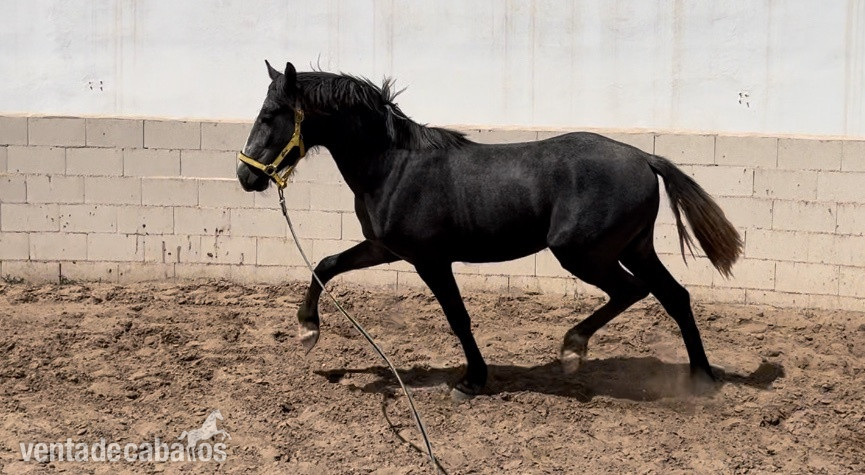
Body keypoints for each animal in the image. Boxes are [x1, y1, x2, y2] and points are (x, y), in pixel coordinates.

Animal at [236, 61, 742, 399]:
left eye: (270, 115)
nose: (246, 176)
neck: (393, 166)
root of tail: (644, 157)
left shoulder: (429, 259)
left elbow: (458, 317)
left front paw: (472, 381)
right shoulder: (385, 248)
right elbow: (325, 265)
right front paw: (307, 330)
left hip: (583, 252)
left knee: (632, 291)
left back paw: (573, 349)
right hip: (634, 247)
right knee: (675, 296)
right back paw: (701, 378)